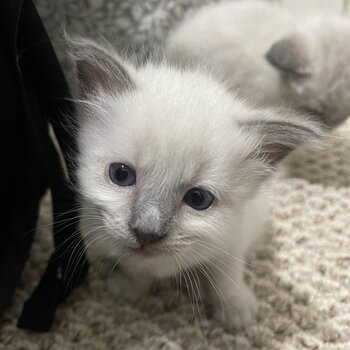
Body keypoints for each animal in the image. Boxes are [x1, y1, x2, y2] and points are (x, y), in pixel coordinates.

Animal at [72, 38, 326, 330]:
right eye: (121, 175)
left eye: (198, 199)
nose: (146, 233)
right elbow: (136, 267)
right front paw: (130, 289)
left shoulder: (231, 239)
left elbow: (225, 274)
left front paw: (236, 312)